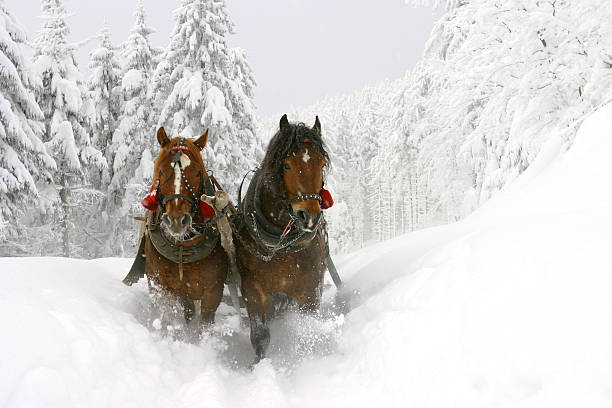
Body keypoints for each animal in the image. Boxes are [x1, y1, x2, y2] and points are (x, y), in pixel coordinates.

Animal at [136, 129, 227, 326]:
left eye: (198, 173)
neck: (182, 248)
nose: (177, 220)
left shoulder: (213, 291)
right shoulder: (162, 286)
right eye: (161, 171)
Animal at [234, 113, 332, 362]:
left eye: (321, 164)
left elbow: (307, 329)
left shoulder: (310, 291)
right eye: (287, 165)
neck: (281, 246)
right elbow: (260, 336)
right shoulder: (254, 291)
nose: (309, 216)